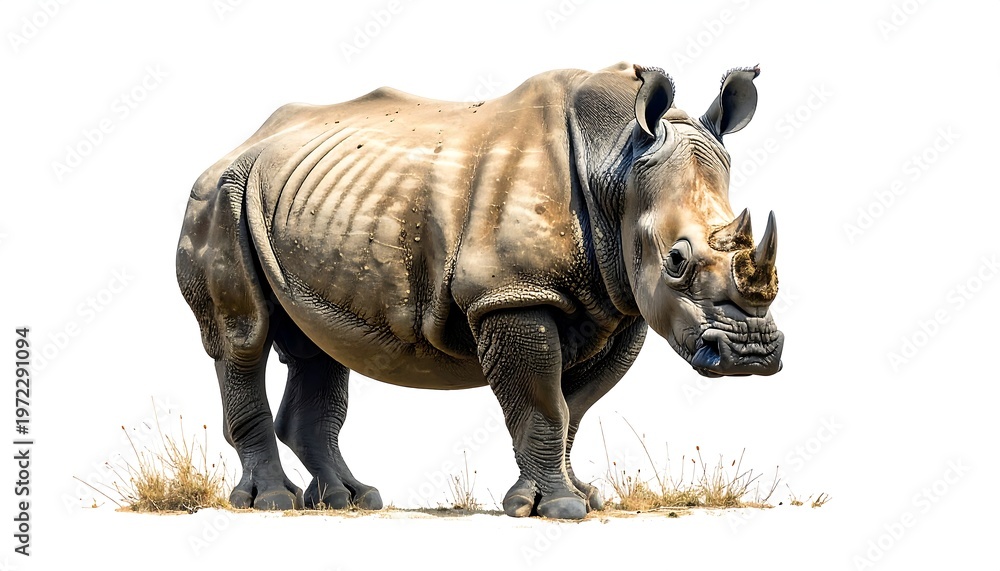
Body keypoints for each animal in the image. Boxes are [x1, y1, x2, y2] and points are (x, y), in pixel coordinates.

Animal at [176, 61, 783, 519]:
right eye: (677, 262)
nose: (750, 353)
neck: (615, 163)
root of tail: (241, 144)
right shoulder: (511, 294)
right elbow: (543, 403)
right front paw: (558, 509)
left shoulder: (619, 303)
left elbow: (573, 409)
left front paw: (581, 498)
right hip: (220, 197)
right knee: (244, 337)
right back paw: (272, 502)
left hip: (301, 202)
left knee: (318, 348)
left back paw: (351, 501)